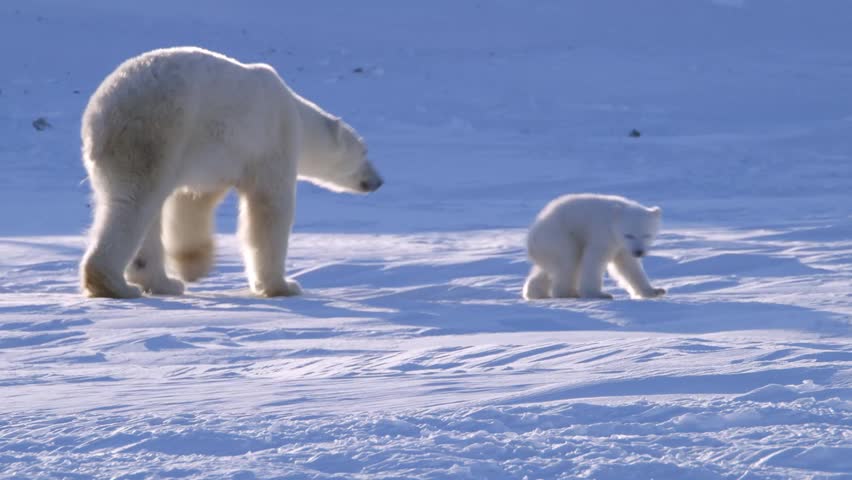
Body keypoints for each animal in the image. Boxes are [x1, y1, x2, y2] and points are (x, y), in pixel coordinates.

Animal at [79, 47, 383, 299]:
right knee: (133, 204)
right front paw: (282, 286)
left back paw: (163, 282)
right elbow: (270, 208)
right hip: (155, 134)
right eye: (365, 152)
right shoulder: (270, 141)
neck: (296, 111)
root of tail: (100, 115)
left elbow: (192, 203)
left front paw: (193, 265)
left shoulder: (213, 159)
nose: (378, 181)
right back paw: (114, 285)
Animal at [522, 193, 665, 300]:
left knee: (547, 269)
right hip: (559, 236)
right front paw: (598, 294)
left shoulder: (623, 247)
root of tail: (531, 236)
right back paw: (568, 293)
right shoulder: (602, 233)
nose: (638, 252)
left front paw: (654, 291)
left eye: (646, 235)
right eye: (629, 235)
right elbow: (594, 261)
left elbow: (629, 266)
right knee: (568, 262)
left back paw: (535, 292)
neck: (614, 220)